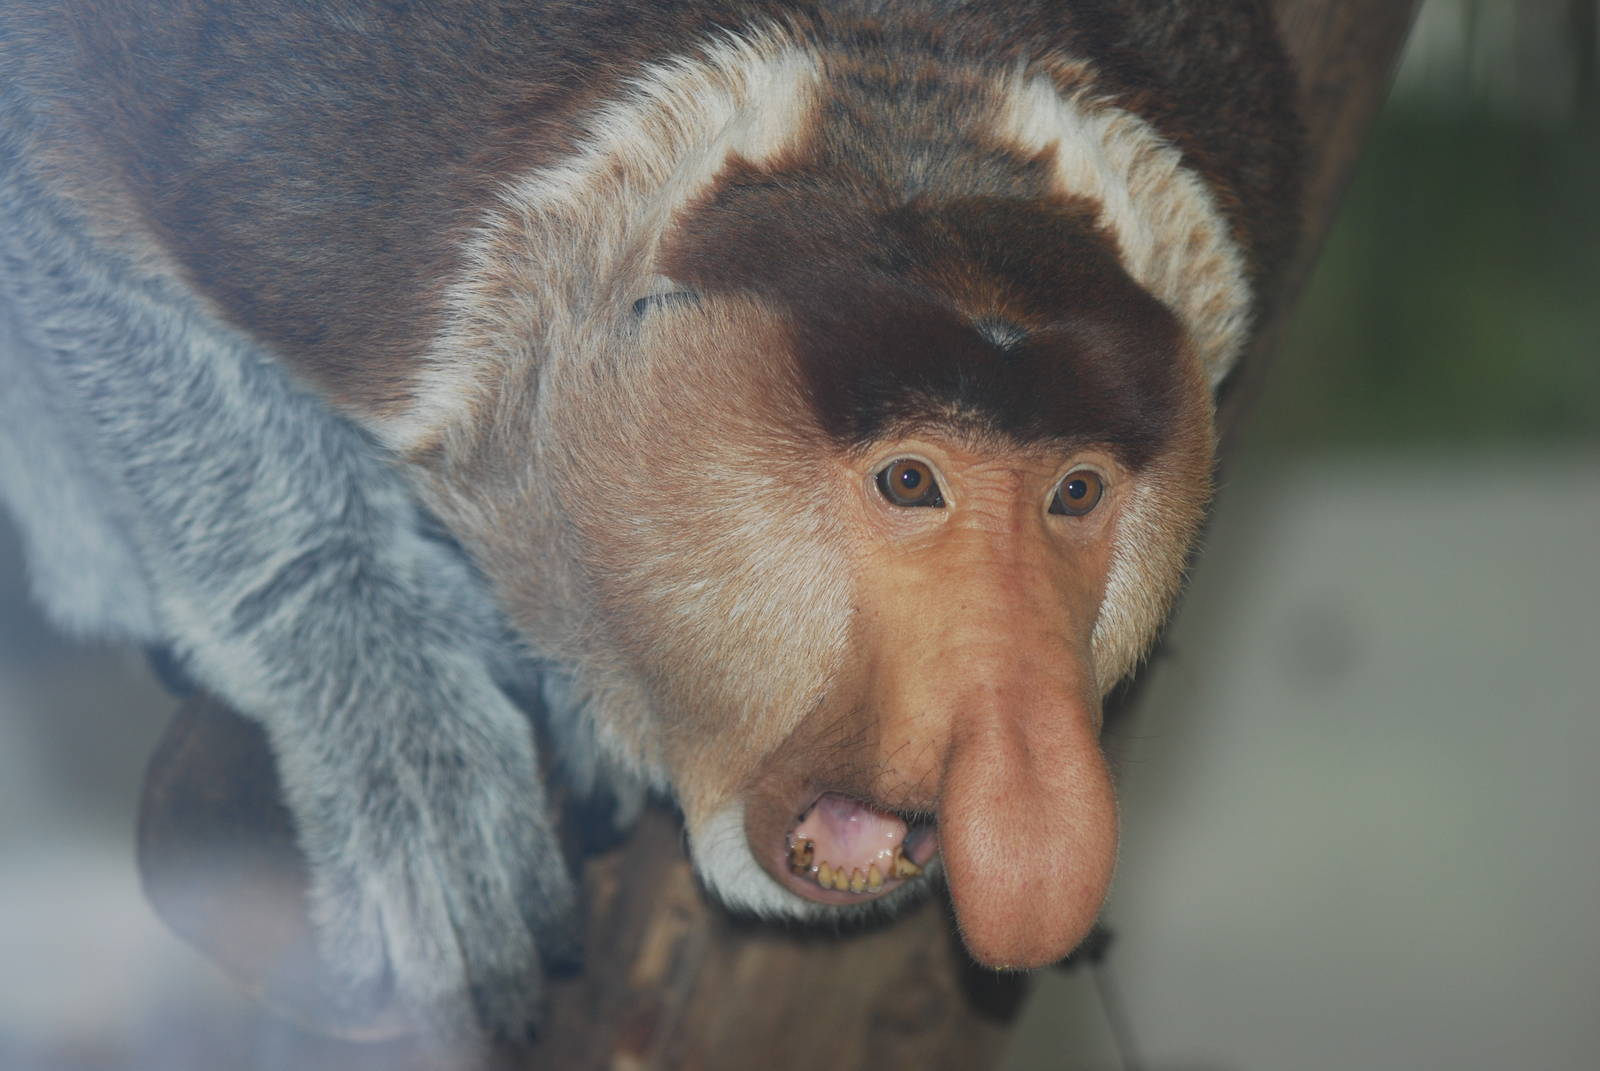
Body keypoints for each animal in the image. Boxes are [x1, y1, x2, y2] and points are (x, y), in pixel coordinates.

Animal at [0, 0, 1301, 1043]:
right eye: (909, 482)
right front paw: (397, 721)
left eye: (1074, 493)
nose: (1019, 761)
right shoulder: (306, 195)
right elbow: (54, 184)